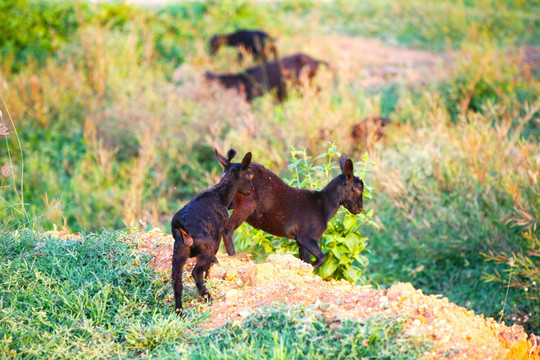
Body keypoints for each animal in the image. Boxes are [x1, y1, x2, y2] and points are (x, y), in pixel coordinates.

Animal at [172, 150, 254, 314]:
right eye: (250, 175)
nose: (252, 189)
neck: (221, 196)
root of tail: (179, 224)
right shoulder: (218, 233)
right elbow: (213, 259)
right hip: (206, 246)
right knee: (196, 272)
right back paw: (208, 297)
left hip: (179, 251)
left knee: (177, 280)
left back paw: (179, 311)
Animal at [215, 148, 362, 268]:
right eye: (359, 189)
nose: (359, 209)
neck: (323, 206)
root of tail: (230, 166)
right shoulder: (307, 237)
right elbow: (321, 258)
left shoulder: (300, 241)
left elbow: (305, 260)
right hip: (246, 204)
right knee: (228, 229)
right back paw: (233, 257)